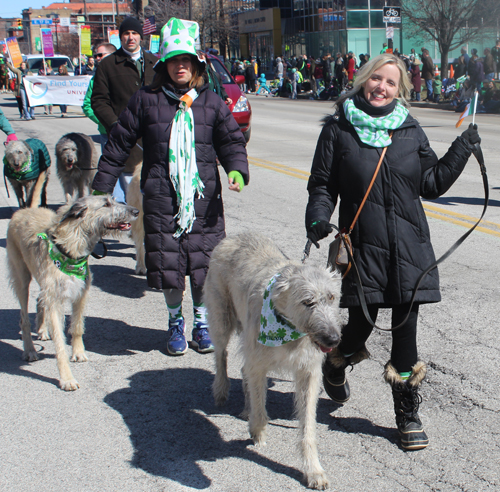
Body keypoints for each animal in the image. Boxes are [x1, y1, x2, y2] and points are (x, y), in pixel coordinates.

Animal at [6, 194, 139, 390]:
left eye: (114, 199)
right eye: (106, 204)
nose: (136, 211)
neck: (70, 248)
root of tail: (25, 210)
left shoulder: (81, 293)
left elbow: (77, 327)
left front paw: (78, 353)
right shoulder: (55, 300)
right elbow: (60, 342)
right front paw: (67, 378)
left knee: (39, 300)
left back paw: (42, 330)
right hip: (21, 278)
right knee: (24, 317)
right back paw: (30, 350)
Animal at [204, 234, 344, 488]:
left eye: (332, 297)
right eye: (308, 302)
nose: (334, 338)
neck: (289, 328)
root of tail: (234, 236)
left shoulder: (309, 372)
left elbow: (307, 424)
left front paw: (314, 470)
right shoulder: (258, 362)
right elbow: (260, 404)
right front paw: (258, 431)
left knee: (242, 369)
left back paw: (245, 407)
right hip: (221, 315)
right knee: (221, 355)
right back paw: (220, 390)